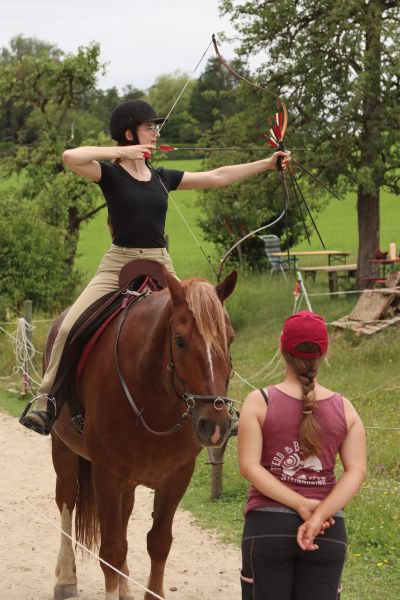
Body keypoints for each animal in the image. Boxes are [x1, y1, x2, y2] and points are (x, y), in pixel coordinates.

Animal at [50, 270, 238, 596]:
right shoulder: (106, 474)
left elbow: (158, 543)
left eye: (229, 338)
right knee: (66, 502)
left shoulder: (176, 477)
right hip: (63, 451)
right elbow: (111, 550)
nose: (215, 424)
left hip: (127, 483)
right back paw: (66, 579)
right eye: (180, 341)